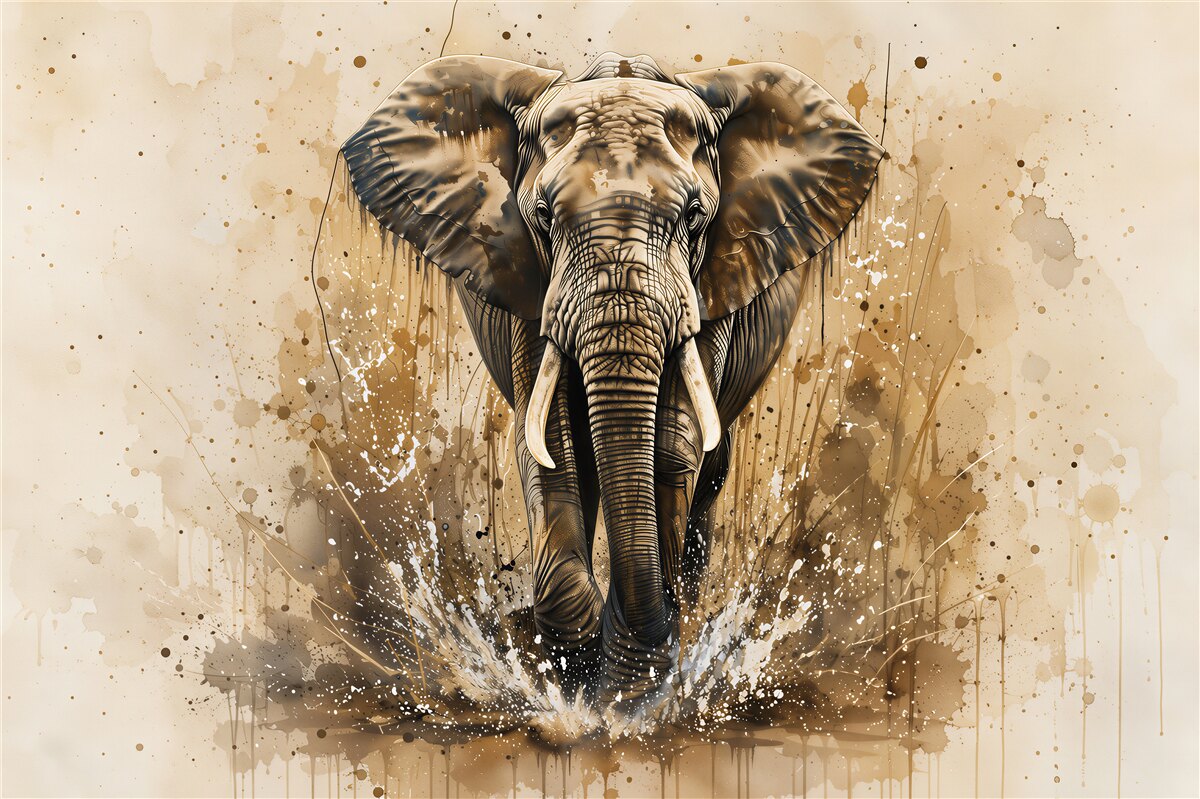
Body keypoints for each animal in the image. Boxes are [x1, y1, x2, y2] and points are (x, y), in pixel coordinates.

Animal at [339, 51, 883, 705]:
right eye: (543, 217)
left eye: (694, 218)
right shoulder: (529, 279)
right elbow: (551, 444)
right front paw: (574, 665)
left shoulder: (711, 280)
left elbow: (673, 445)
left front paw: (631, 685)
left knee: (710, 464)